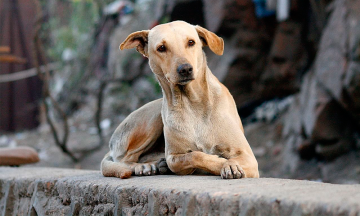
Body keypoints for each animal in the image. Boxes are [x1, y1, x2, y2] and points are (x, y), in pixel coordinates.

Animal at [100, 20, 258, 179]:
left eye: (191, 42)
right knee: (124, 159)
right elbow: (193, 156)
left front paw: (230, 164)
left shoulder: (248, 157)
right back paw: (145, 166)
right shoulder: (174, 156)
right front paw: (221, 162)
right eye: (161, 48)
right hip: (151, 120)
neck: (192, 104)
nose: (185, 69)